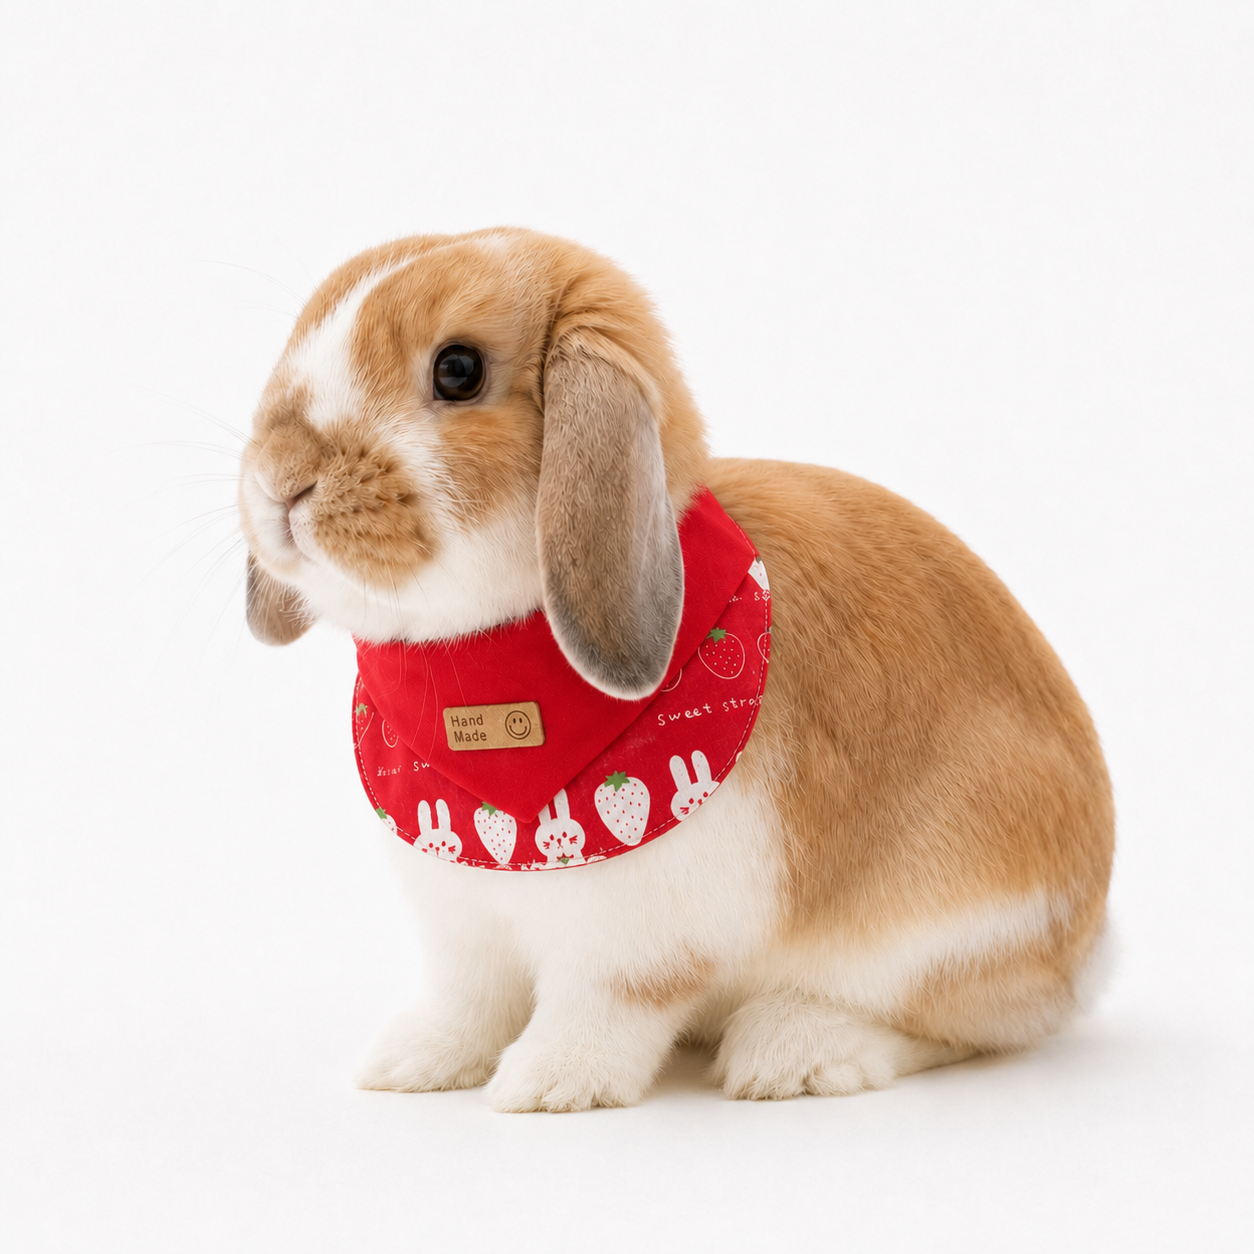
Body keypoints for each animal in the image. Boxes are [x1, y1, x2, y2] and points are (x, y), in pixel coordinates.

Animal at [238, 227, 1114, 1111]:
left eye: (458, 370)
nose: (280, 476)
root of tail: (1088, 950)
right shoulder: (463, 926)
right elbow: (468, 1003)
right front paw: (410, 1063)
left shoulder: (635, 940)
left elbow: (606, 1003)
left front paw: (550, 1082)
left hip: (942, 929)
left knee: (963, 1026)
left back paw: (795, 1050)